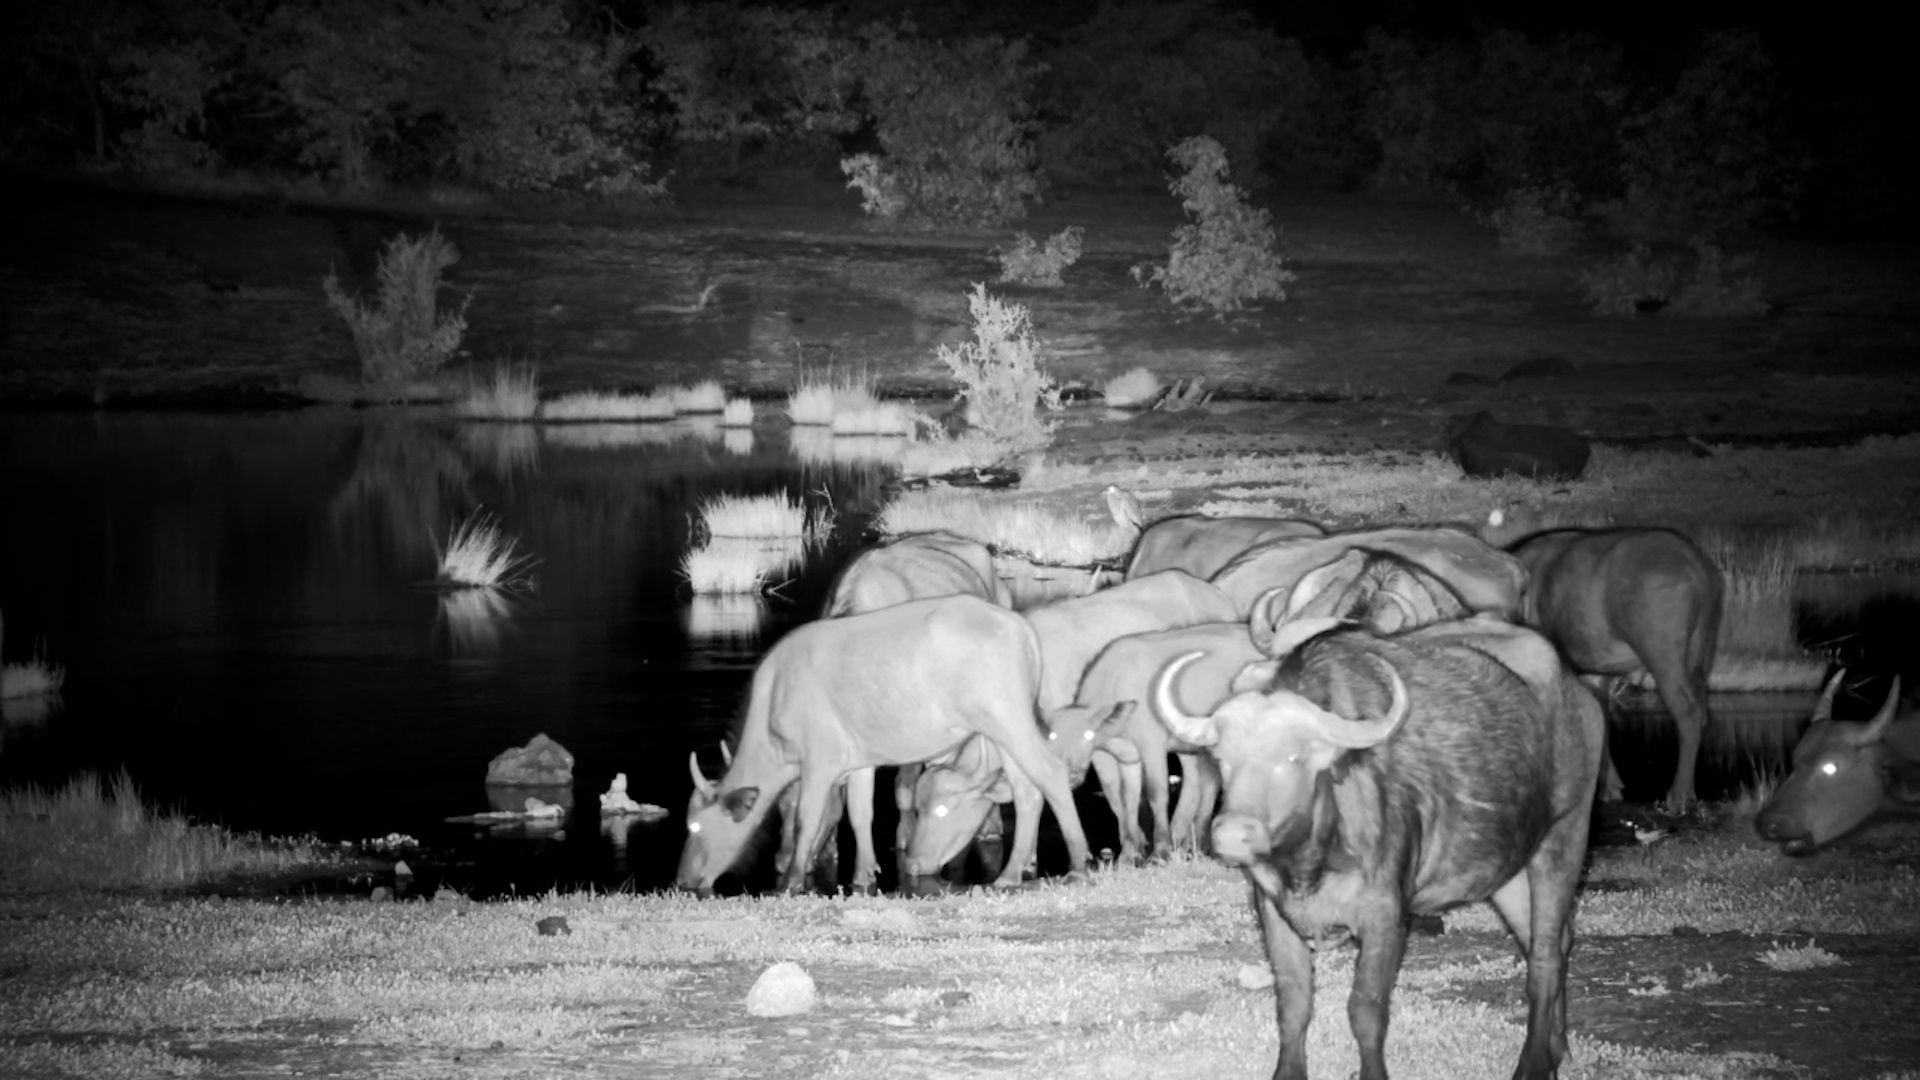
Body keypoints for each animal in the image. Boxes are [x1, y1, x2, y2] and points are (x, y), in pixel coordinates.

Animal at [676, 595, 1091, 893]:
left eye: (694, 827)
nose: (681, 880)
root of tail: (1019, 624)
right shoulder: (858, 761)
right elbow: (861, 815)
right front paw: (863, 876)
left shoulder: (820, 761)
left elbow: (805, 819)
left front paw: (791, 882)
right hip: (1003, 730)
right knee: (1026, 792)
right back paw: (1010, 872)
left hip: (1009, 720)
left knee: (1051, 774)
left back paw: (1078, 863)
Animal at [1153, 616, 1606, 1080]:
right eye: (1223, 758)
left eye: (1296, 757)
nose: (1232, 834)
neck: (1311, 860)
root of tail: (1579, 693)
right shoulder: (1274, 914)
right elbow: (1294, 1005)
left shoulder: (1385, 916)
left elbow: (1366, 1009)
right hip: (1507, 871)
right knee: (1552, 941)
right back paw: (1558, 1049)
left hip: (1563, 840)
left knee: (1545, 957)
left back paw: (1534, 1063)